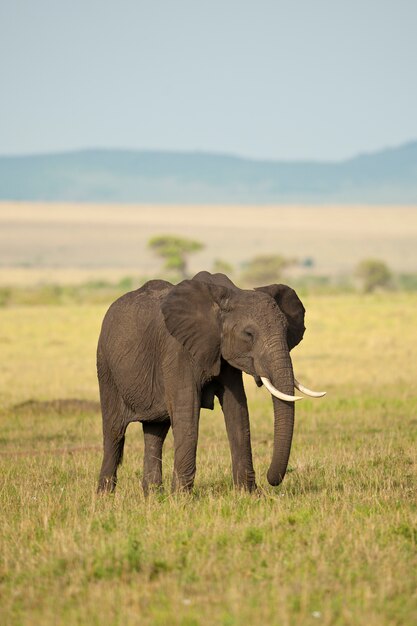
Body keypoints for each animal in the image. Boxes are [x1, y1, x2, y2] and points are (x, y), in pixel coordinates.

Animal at [96, 268, 324, 492]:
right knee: (114, 432)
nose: (271, 480)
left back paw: (152, 495)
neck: (231, 295)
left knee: (155, 431)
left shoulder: (224, 354)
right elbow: (187, 411)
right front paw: (181, 497)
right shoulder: (178, 350)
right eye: (249, 334)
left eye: (286, 331)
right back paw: (105, 495)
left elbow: (237, 410)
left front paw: (248, 493)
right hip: (106, 368)